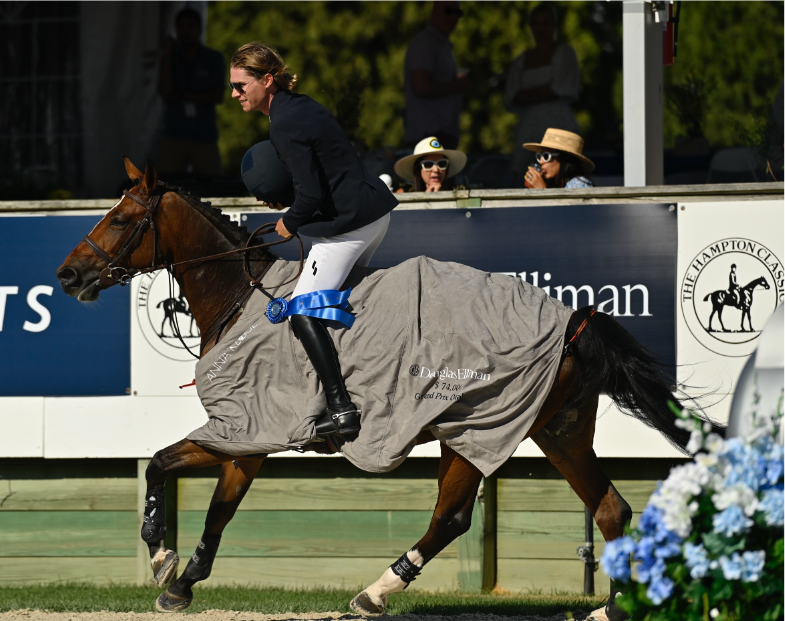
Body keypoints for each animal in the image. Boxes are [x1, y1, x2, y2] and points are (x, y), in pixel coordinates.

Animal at [56, 159, 717, 621]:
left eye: (119, 219)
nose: (67, 274)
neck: (240, 294)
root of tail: (575, 319)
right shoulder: (250, 438)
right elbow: (219, 508)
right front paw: (184, 584)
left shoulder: (242, 427)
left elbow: (160, 465)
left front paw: (161, 559)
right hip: (558, 429)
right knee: (611, 509)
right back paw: (614, 606)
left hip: (474, 426)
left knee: (451, 517)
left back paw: (376, 591)